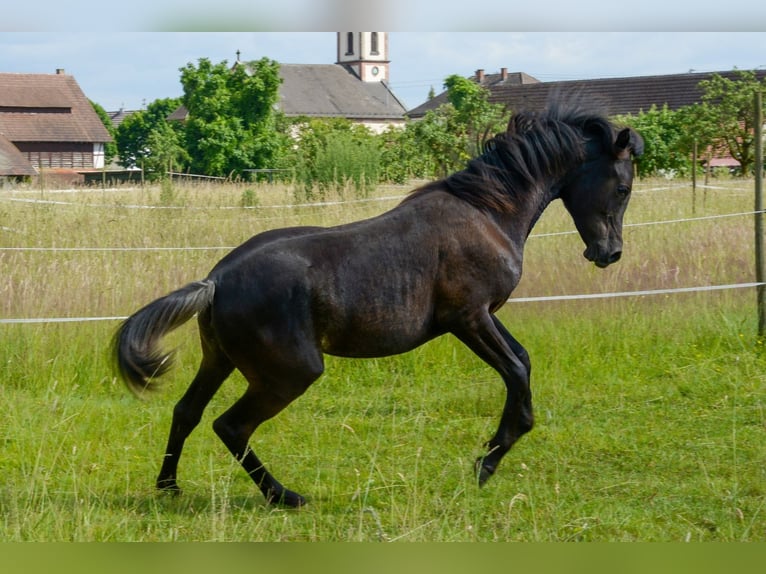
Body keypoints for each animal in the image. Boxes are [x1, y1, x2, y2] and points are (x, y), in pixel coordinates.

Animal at [112, 99, 640, 508]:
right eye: (622, 187)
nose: (609, 253)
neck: (487, 213)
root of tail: (216, 281)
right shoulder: (468, 318)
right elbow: (515, 372)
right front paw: (486, 463)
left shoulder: (484, 316)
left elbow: (523, 362)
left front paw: (488, 454)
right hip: (290, 373)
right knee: (230, 426)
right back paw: (285, 496)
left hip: (219, 360)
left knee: (187, 412)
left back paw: (169, 487)